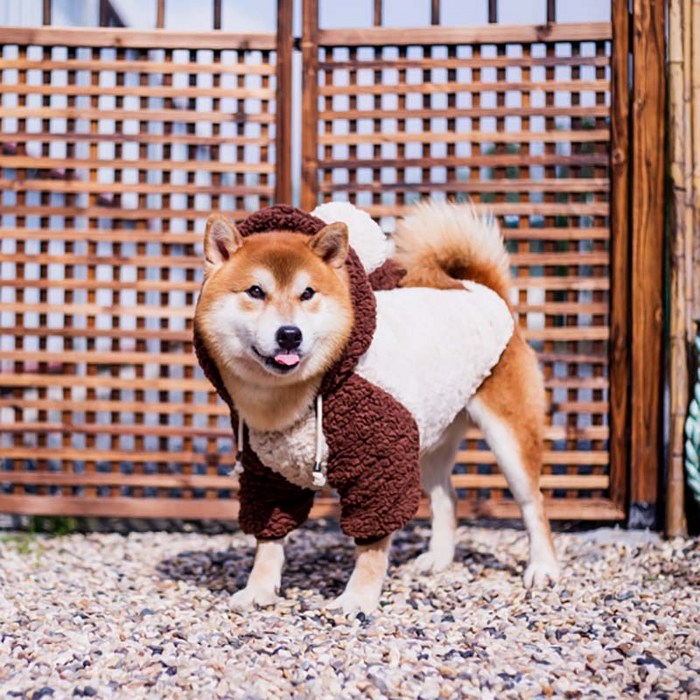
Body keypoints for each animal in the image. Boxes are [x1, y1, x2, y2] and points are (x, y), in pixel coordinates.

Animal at [194, 202, 560, 612]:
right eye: (256, 291)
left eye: (308, 293)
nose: (290, 335)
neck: (287, 400)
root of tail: (483, 289)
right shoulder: (267, 473)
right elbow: (268, 541)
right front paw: (259, 589)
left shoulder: (381, 466)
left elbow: (371, 545)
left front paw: (357, 599)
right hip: (428, 435)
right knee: (446, 498)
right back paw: (438, 559)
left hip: (507, 439)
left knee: (532, 503)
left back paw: (543, 569)